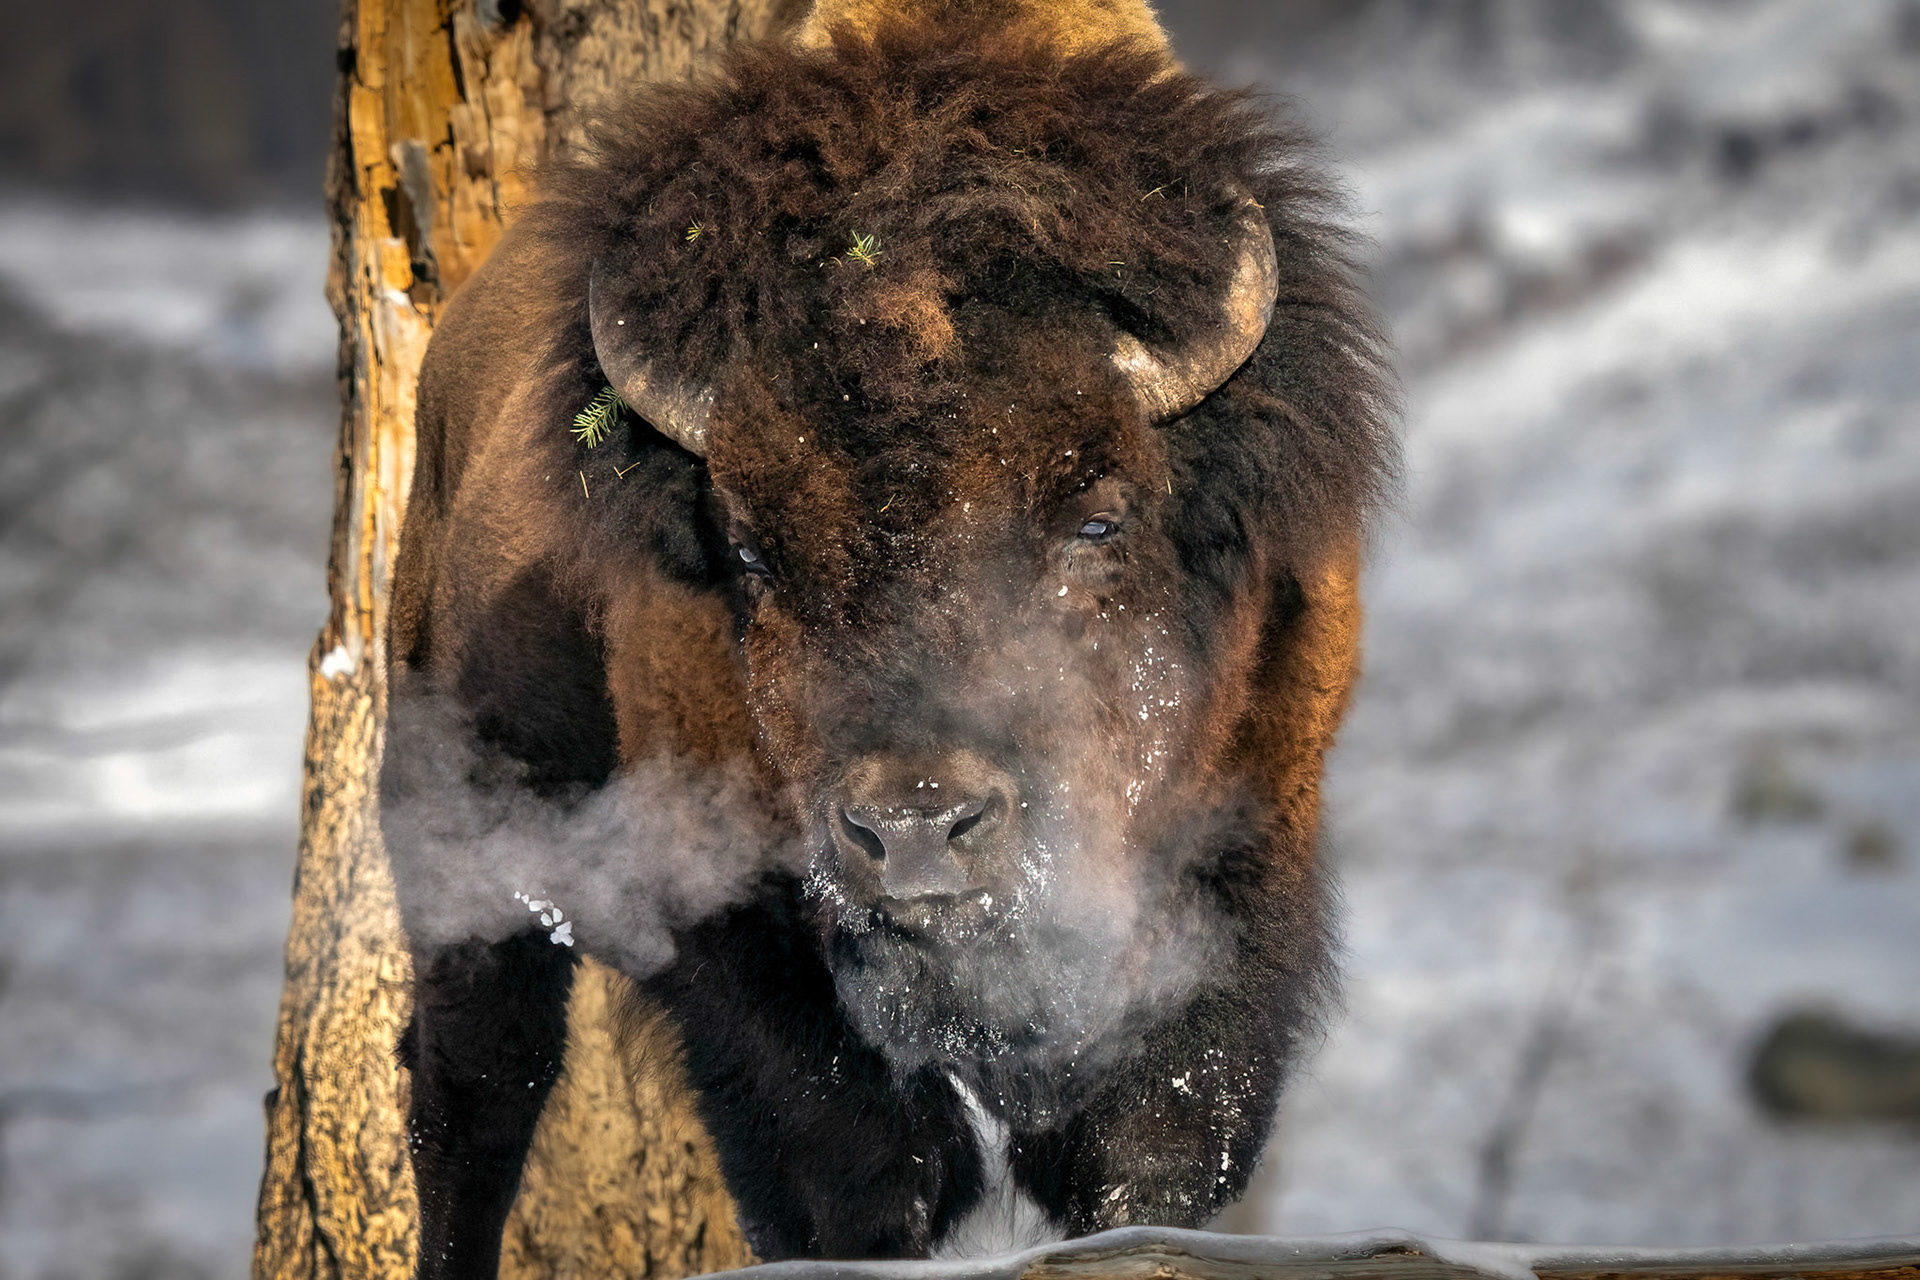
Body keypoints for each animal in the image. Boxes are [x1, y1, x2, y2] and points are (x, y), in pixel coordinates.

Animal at [379, 0, 1396, 1274]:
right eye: (752, 551)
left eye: (1098, 517)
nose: (913, 826)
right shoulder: (748, 932)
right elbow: (856, 1162)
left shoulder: (1237, 875)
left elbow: (1146, 1150)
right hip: (468, 859)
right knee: (475, 1092)